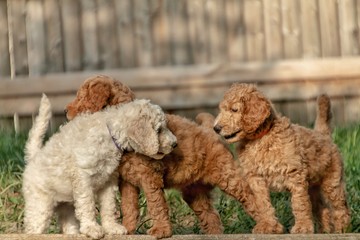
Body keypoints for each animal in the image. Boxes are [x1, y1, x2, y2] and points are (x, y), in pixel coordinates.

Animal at [21, 94, 176, 238]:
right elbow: (87, 204)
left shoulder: (109, 181)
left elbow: (109, 206)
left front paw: (112, 227)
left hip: (67, 206)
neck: (110, 134)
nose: (175, 144)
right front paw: (92, 228)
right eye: (159, 129)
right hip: (39, 205)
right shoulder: (83, 177)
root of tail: (35, 157)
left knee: (68, 224)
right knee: (33, 227)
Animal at [215, 83, 350, 233]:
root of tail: (323, 134)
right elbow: (262, 204)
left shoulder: (294, 174)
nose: (216, 128)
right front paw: (268, 226)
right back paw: (324, 231)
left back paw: (342, 229)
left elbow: (299, 203)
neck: (260, 139)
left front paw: (302, 227)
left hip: (332, 182)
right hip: (313, 186)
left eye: (234, 109)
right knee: (322, 209)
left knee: (340, 208)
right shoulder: (256, 178)